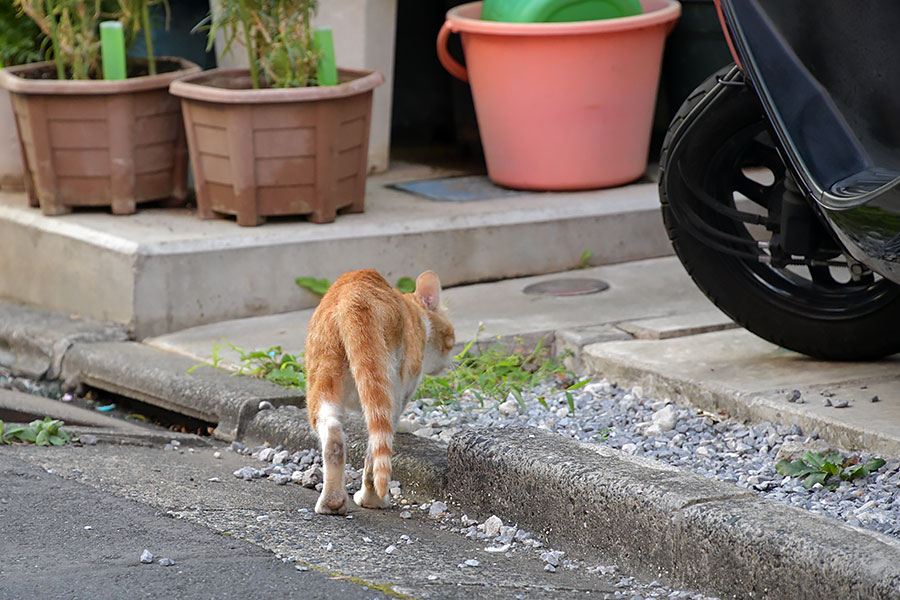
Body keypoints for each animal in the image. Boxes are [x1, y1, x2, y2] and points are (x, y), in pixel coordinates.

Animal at [306, 270, 454, 512]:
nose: (451, 362)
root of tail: (352, 297)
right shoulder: (406, 386)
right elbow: (397, 420)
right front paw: (408, 425)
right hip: (389, 380)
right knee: (377, 450)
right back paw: (372, 499)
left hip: (323, 378)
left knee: (334, 435)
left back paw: (333, 502)